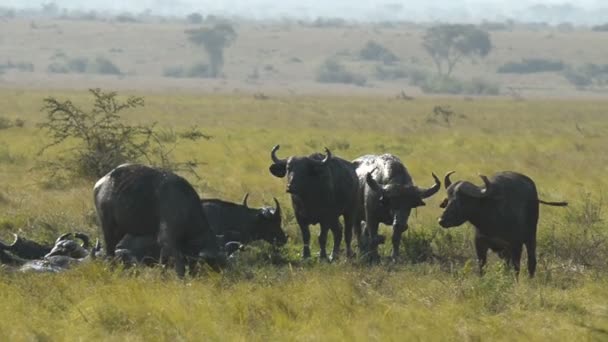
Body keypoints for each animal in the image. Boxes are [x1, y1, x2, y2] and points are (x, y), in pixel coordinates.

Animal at [92, 164, 221, 278]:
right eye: (214, 262)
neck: (186, 207)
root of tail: (100, 184)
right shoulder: (168, 239)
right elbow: (179, 262)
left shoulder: (166, 245)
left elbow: (163, 261)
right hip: (108, 227)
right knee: (109, 251)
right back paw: (111, 270)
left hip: (120, 230)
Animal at [440, 171, 568, 278]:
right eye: (449, 199)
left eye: (463, 200)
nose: (441, 220)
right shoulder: (480, 243)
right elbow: (482, 268)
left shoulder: (516, 244)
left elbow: (516, 268)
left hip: (531, 236)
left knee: (531, 260)